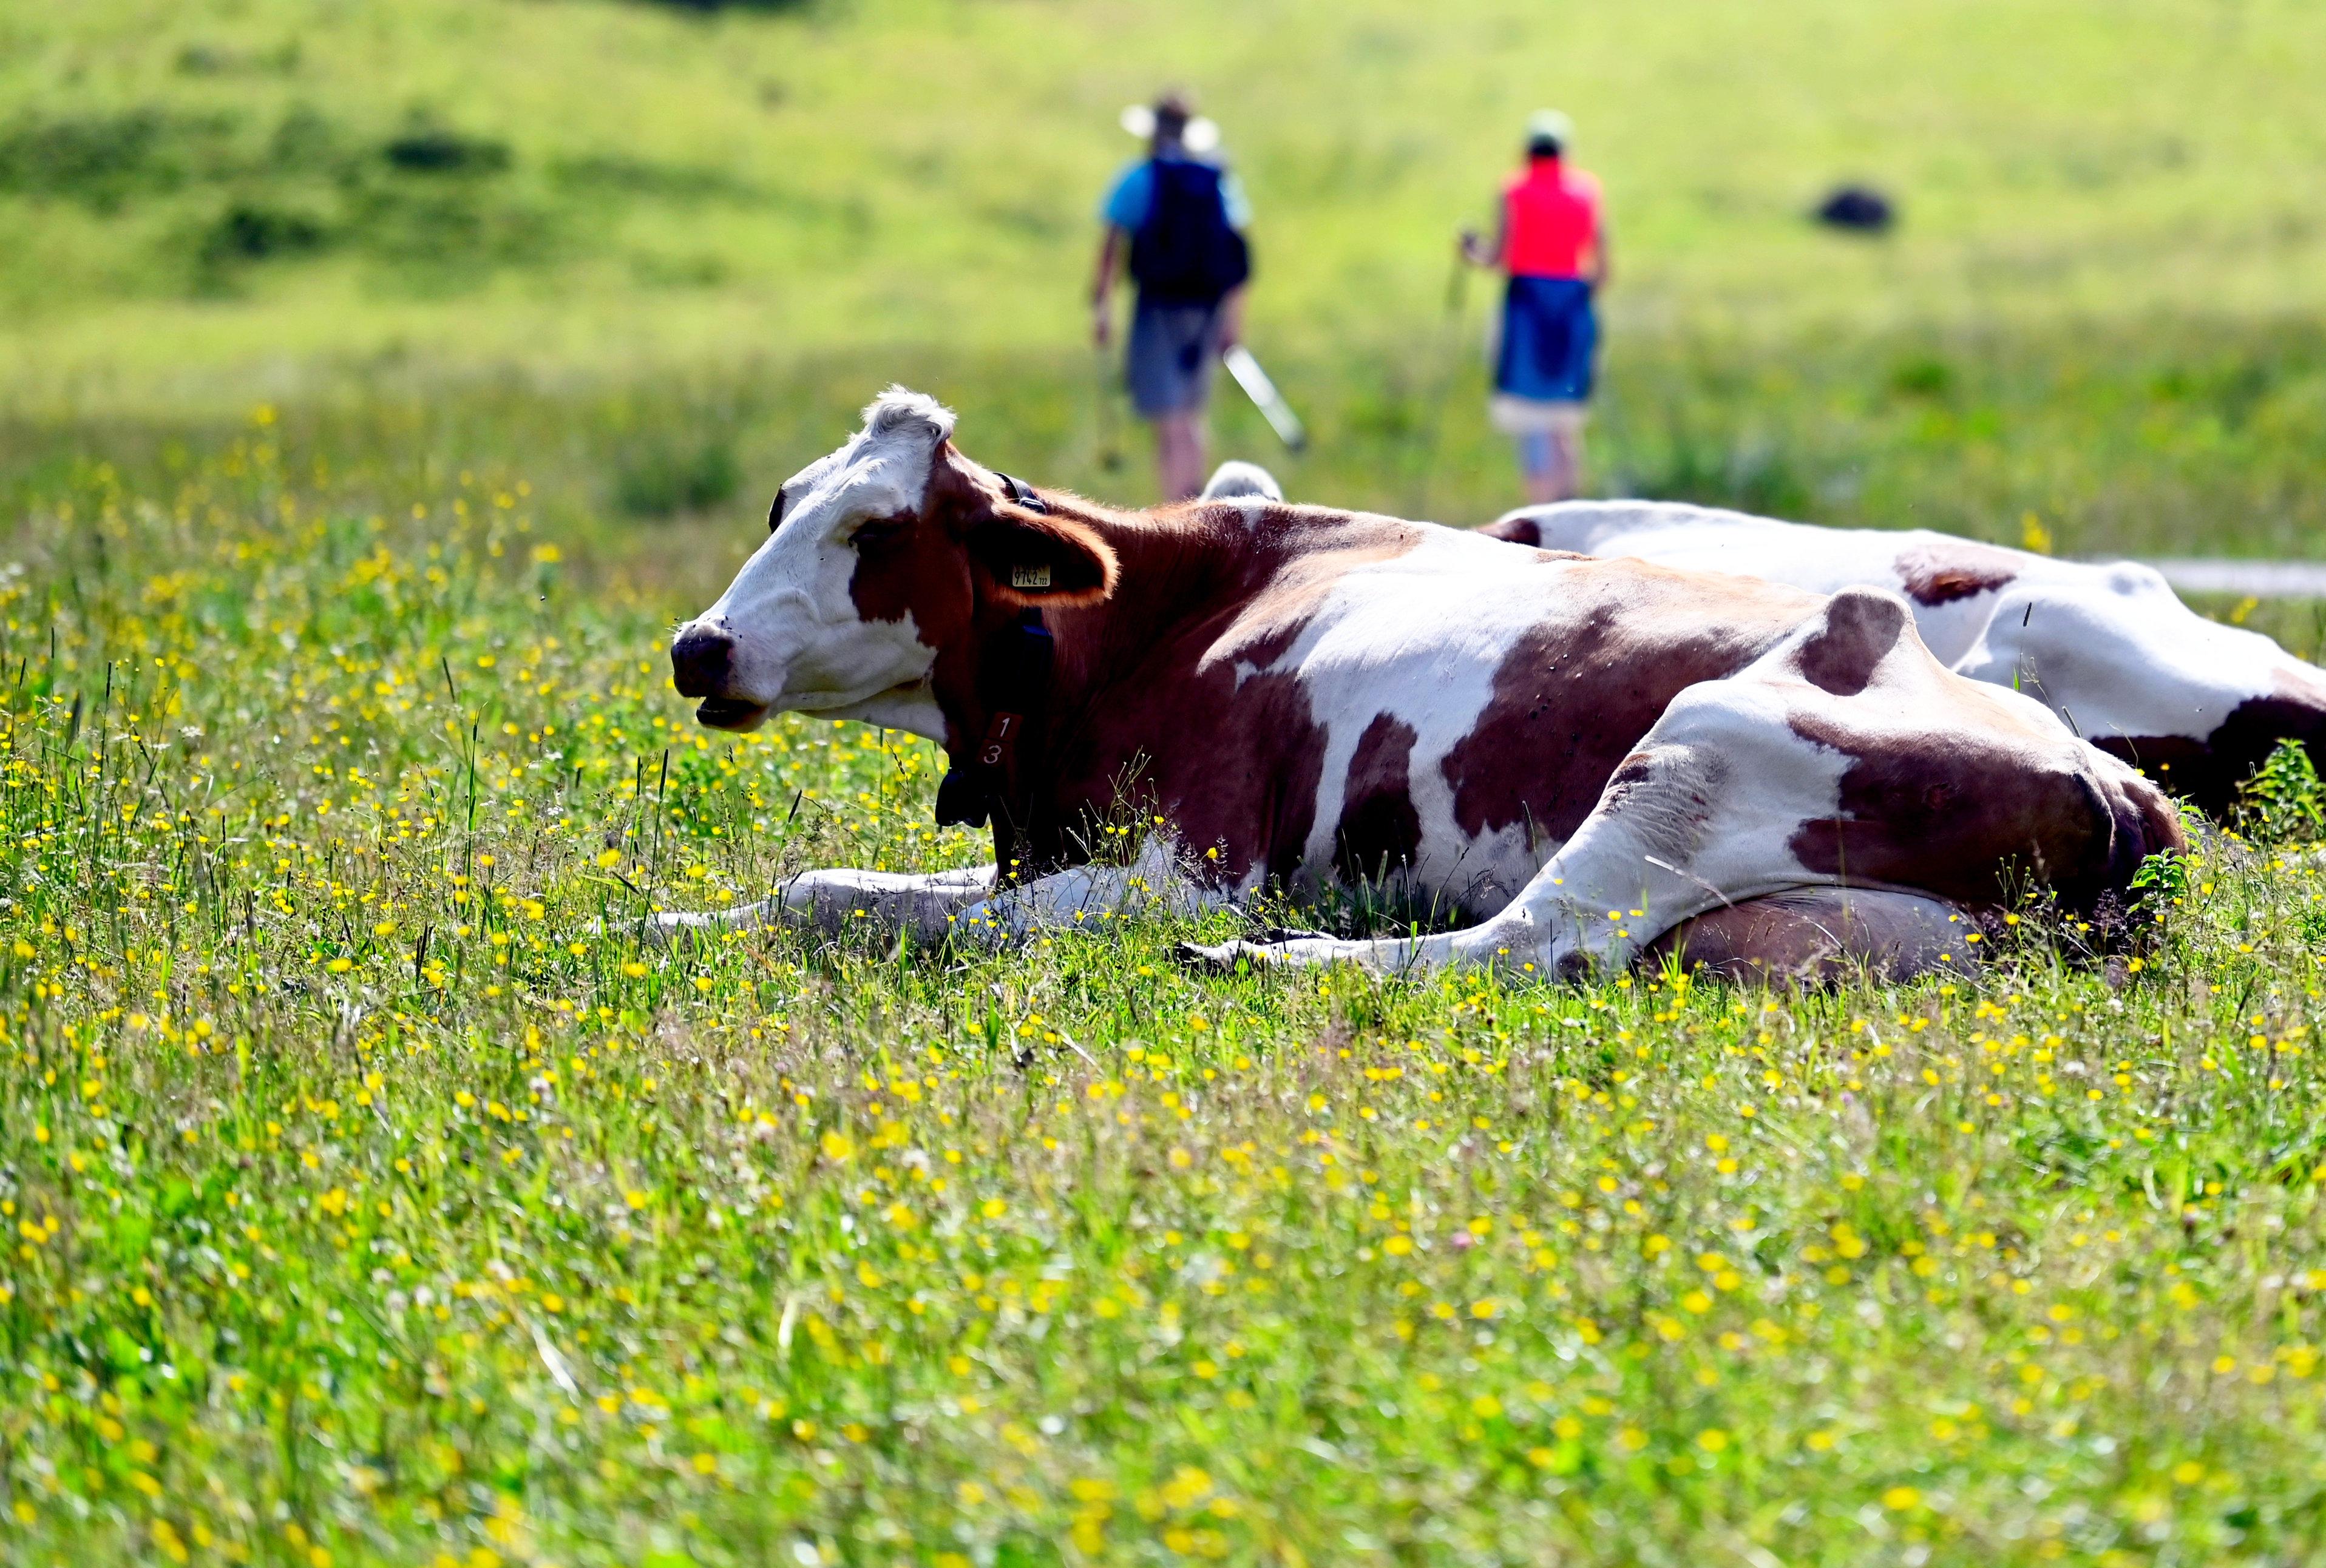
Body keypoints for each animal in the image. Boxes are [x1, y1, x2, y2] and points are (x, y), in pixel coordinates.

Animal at [662, 388, 2182, 981]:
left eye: (874, 532)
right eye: (784, 499)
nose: (697, 645)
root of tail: (2116, 784)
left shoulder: (1184, 868)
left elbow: (936, 921)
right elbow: (817, 895)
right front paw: (666, 920)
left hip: (1694, 748)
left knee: (1519, 946)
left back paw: (1261, 965)